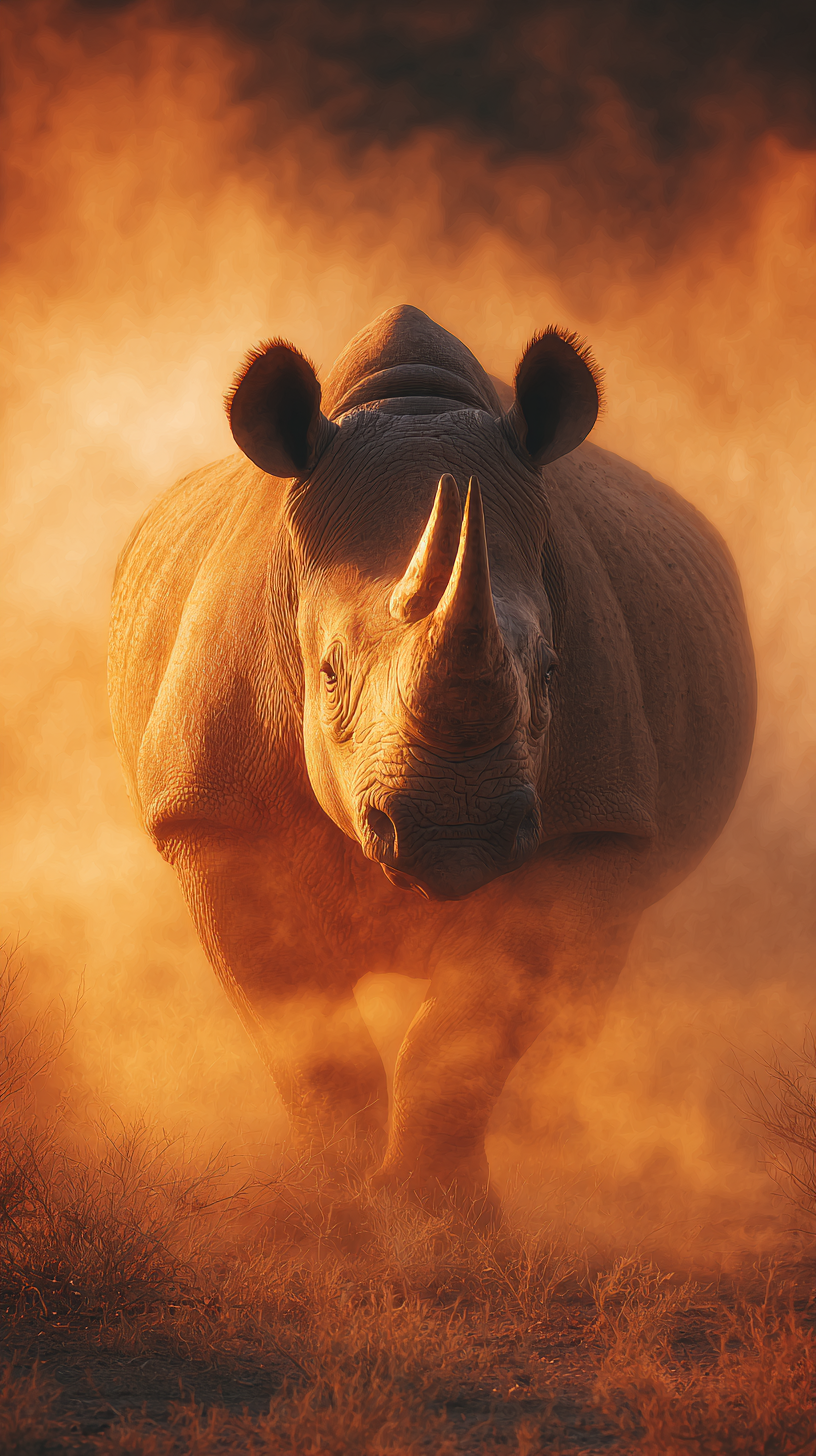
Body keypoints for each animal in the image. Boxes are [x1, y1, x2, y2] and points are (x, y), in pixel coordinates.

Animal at [109, 305, 755, 1205]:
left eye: (550, 670)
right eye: (328, 672)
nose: (456, 836)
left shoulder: (591, 823)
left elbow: (466, 1034)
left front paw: (436, 1215)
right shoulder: (211, 816)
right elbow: (310, 1038)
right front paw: (341, 1207)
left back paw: (558, 1146)